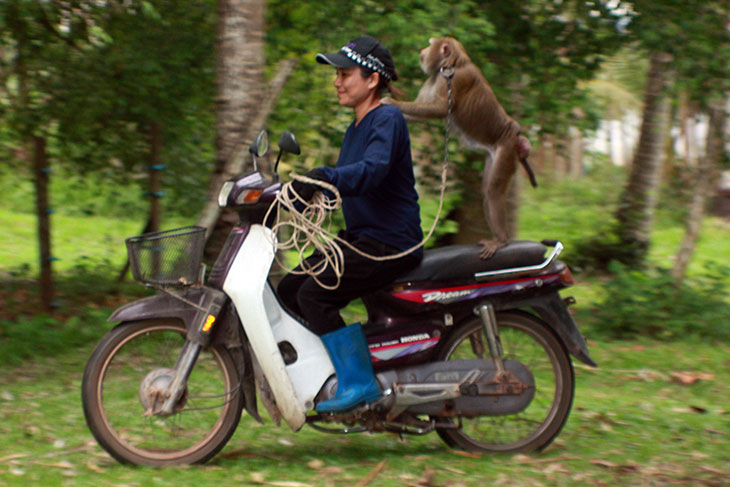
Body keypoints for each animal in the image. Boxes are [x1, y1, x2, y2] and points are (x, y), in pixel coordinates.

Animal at [382, 37, 536, 260]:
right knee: (487, 190)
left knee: (493, 191)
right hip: (494, 155)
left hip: (506, 151)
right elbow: (421, 113)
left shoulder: (454, 80)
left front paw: (390, 101)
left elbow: (438, 109)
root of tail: (515, 137)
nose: (422, 50)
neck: (451, 65)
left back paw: (501, 240)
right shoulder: (435, 80)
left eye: (430, 44)